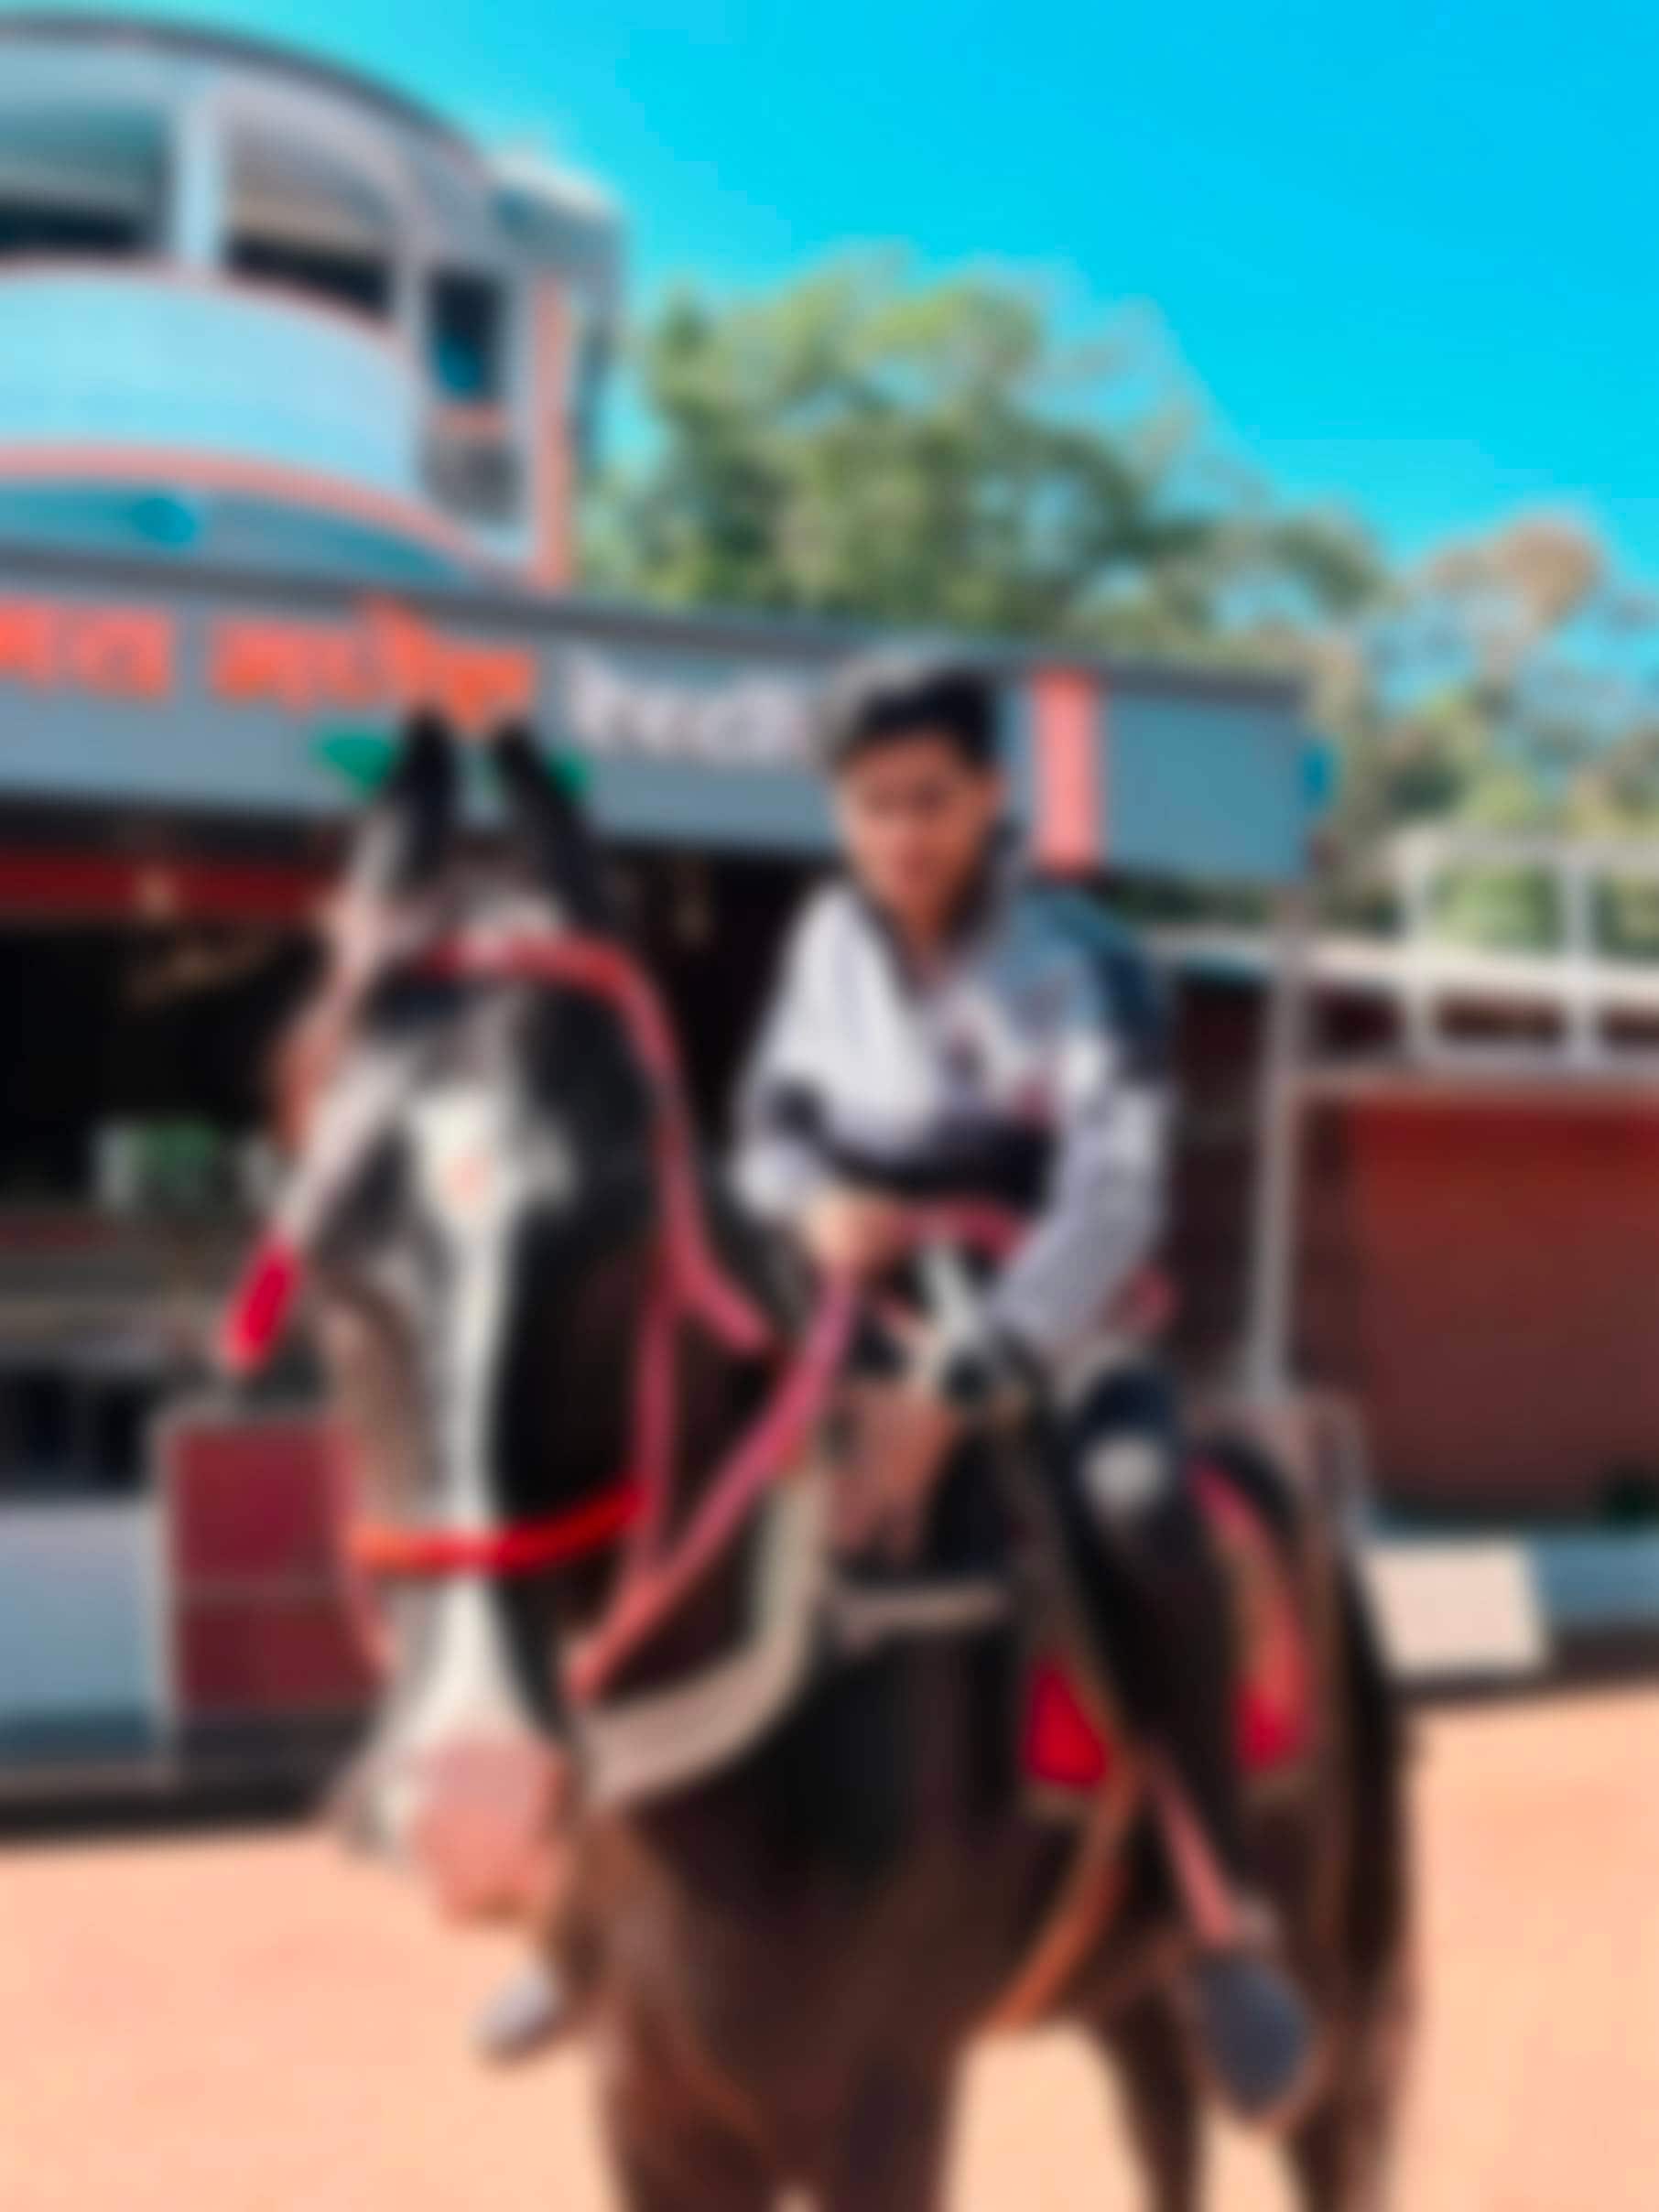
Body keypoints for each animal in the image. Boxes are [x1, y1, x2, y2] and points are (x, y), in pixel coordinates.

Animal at [226, 714, 1413, 2211]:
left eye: (631, 1233)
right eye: (325, 1244)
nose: (475, 1790)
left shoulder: (882, 2105)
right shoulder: (652, 2113)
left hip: (1313, 1980)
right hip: (1120, 1985)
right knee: (1164, 2128)